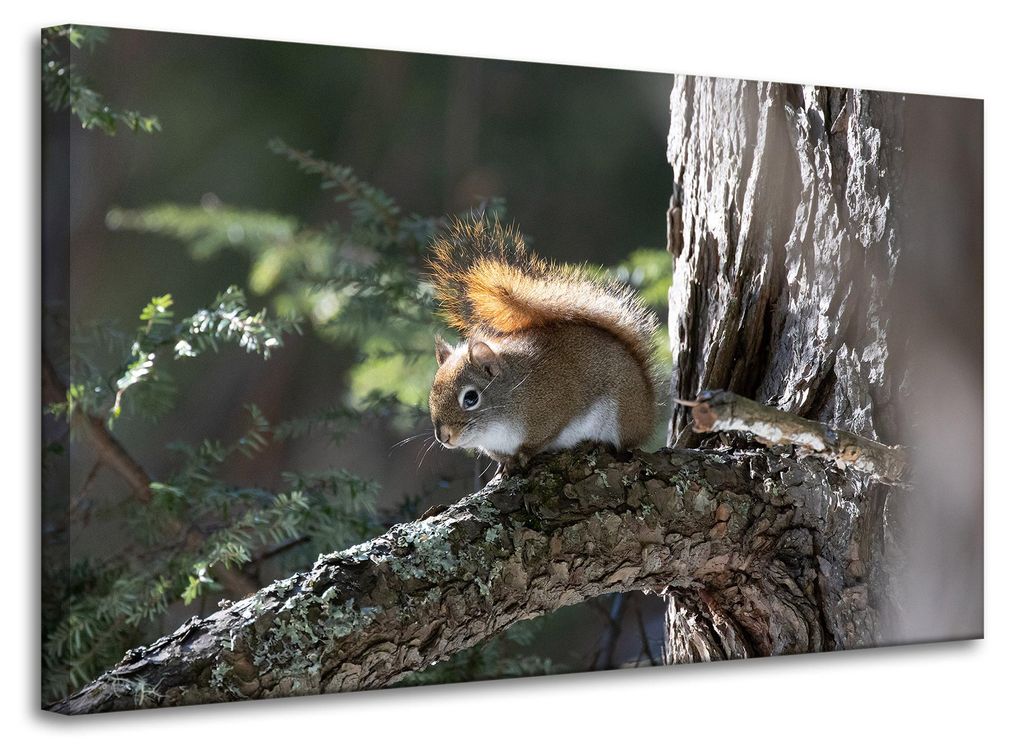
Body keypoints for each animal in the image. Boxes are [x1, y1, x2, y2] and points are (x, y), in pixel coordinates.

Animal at [427, 217, 659, 471]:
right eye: (431, 395)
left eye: (471, 398)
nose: (444, 437)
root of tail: (647, 410)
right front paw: (506, 463)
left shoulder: (552, 408)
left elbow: (541, 438)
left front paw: (524, 455)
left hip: (623, 413)